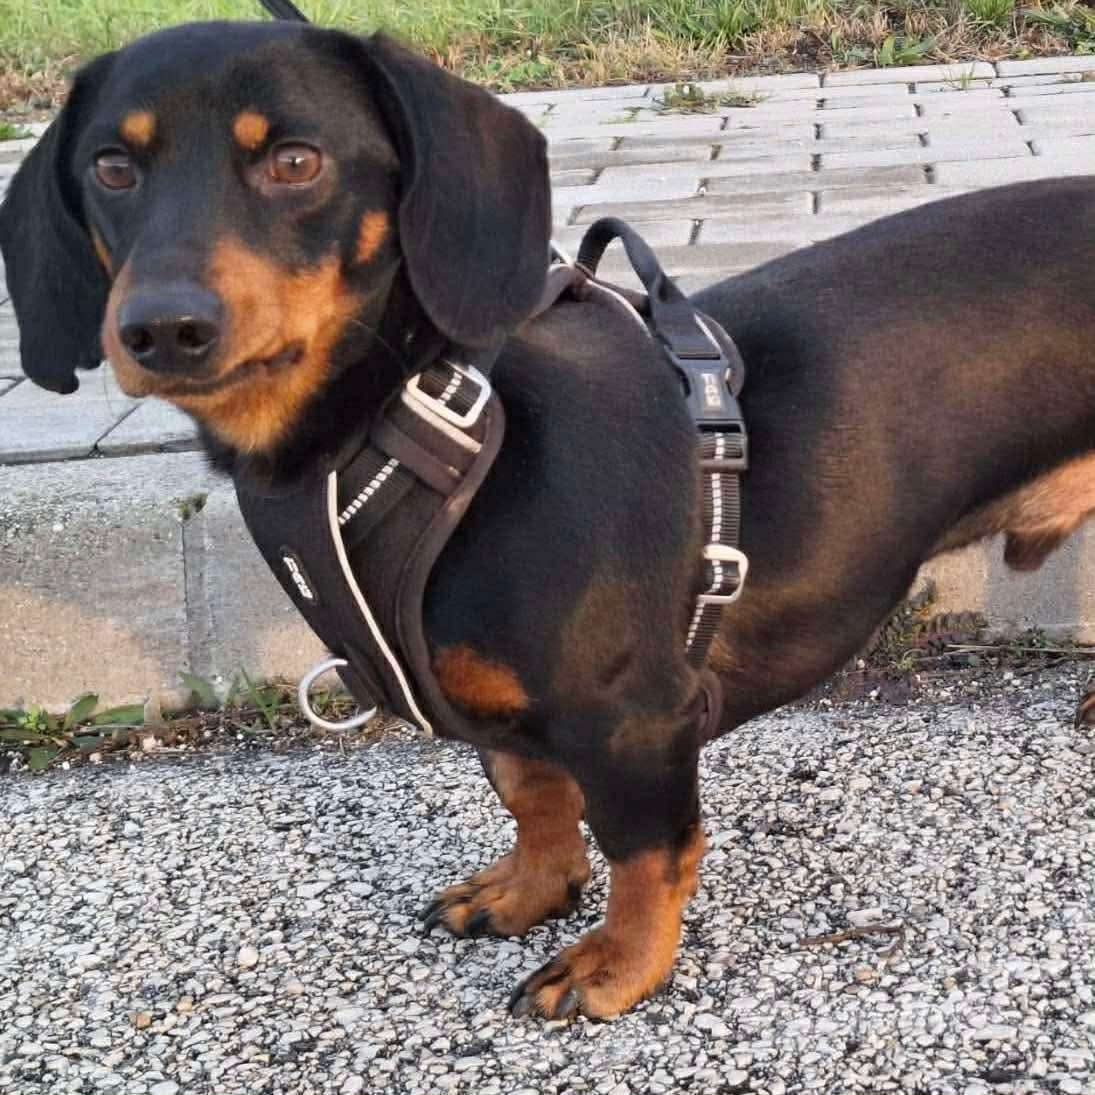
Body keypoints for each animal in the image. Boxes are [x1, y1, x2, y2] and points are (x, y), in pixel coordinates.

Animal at [2, 20, 1093, 1020]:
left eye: (294, 161)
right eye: (110, 166)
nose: (162, 328)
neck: (429, 426)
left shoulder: (637, 723)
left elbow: (648, 854)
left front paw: (618, 964)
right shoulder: (502, 713)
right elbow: (533, 801)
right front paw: (532, 891)